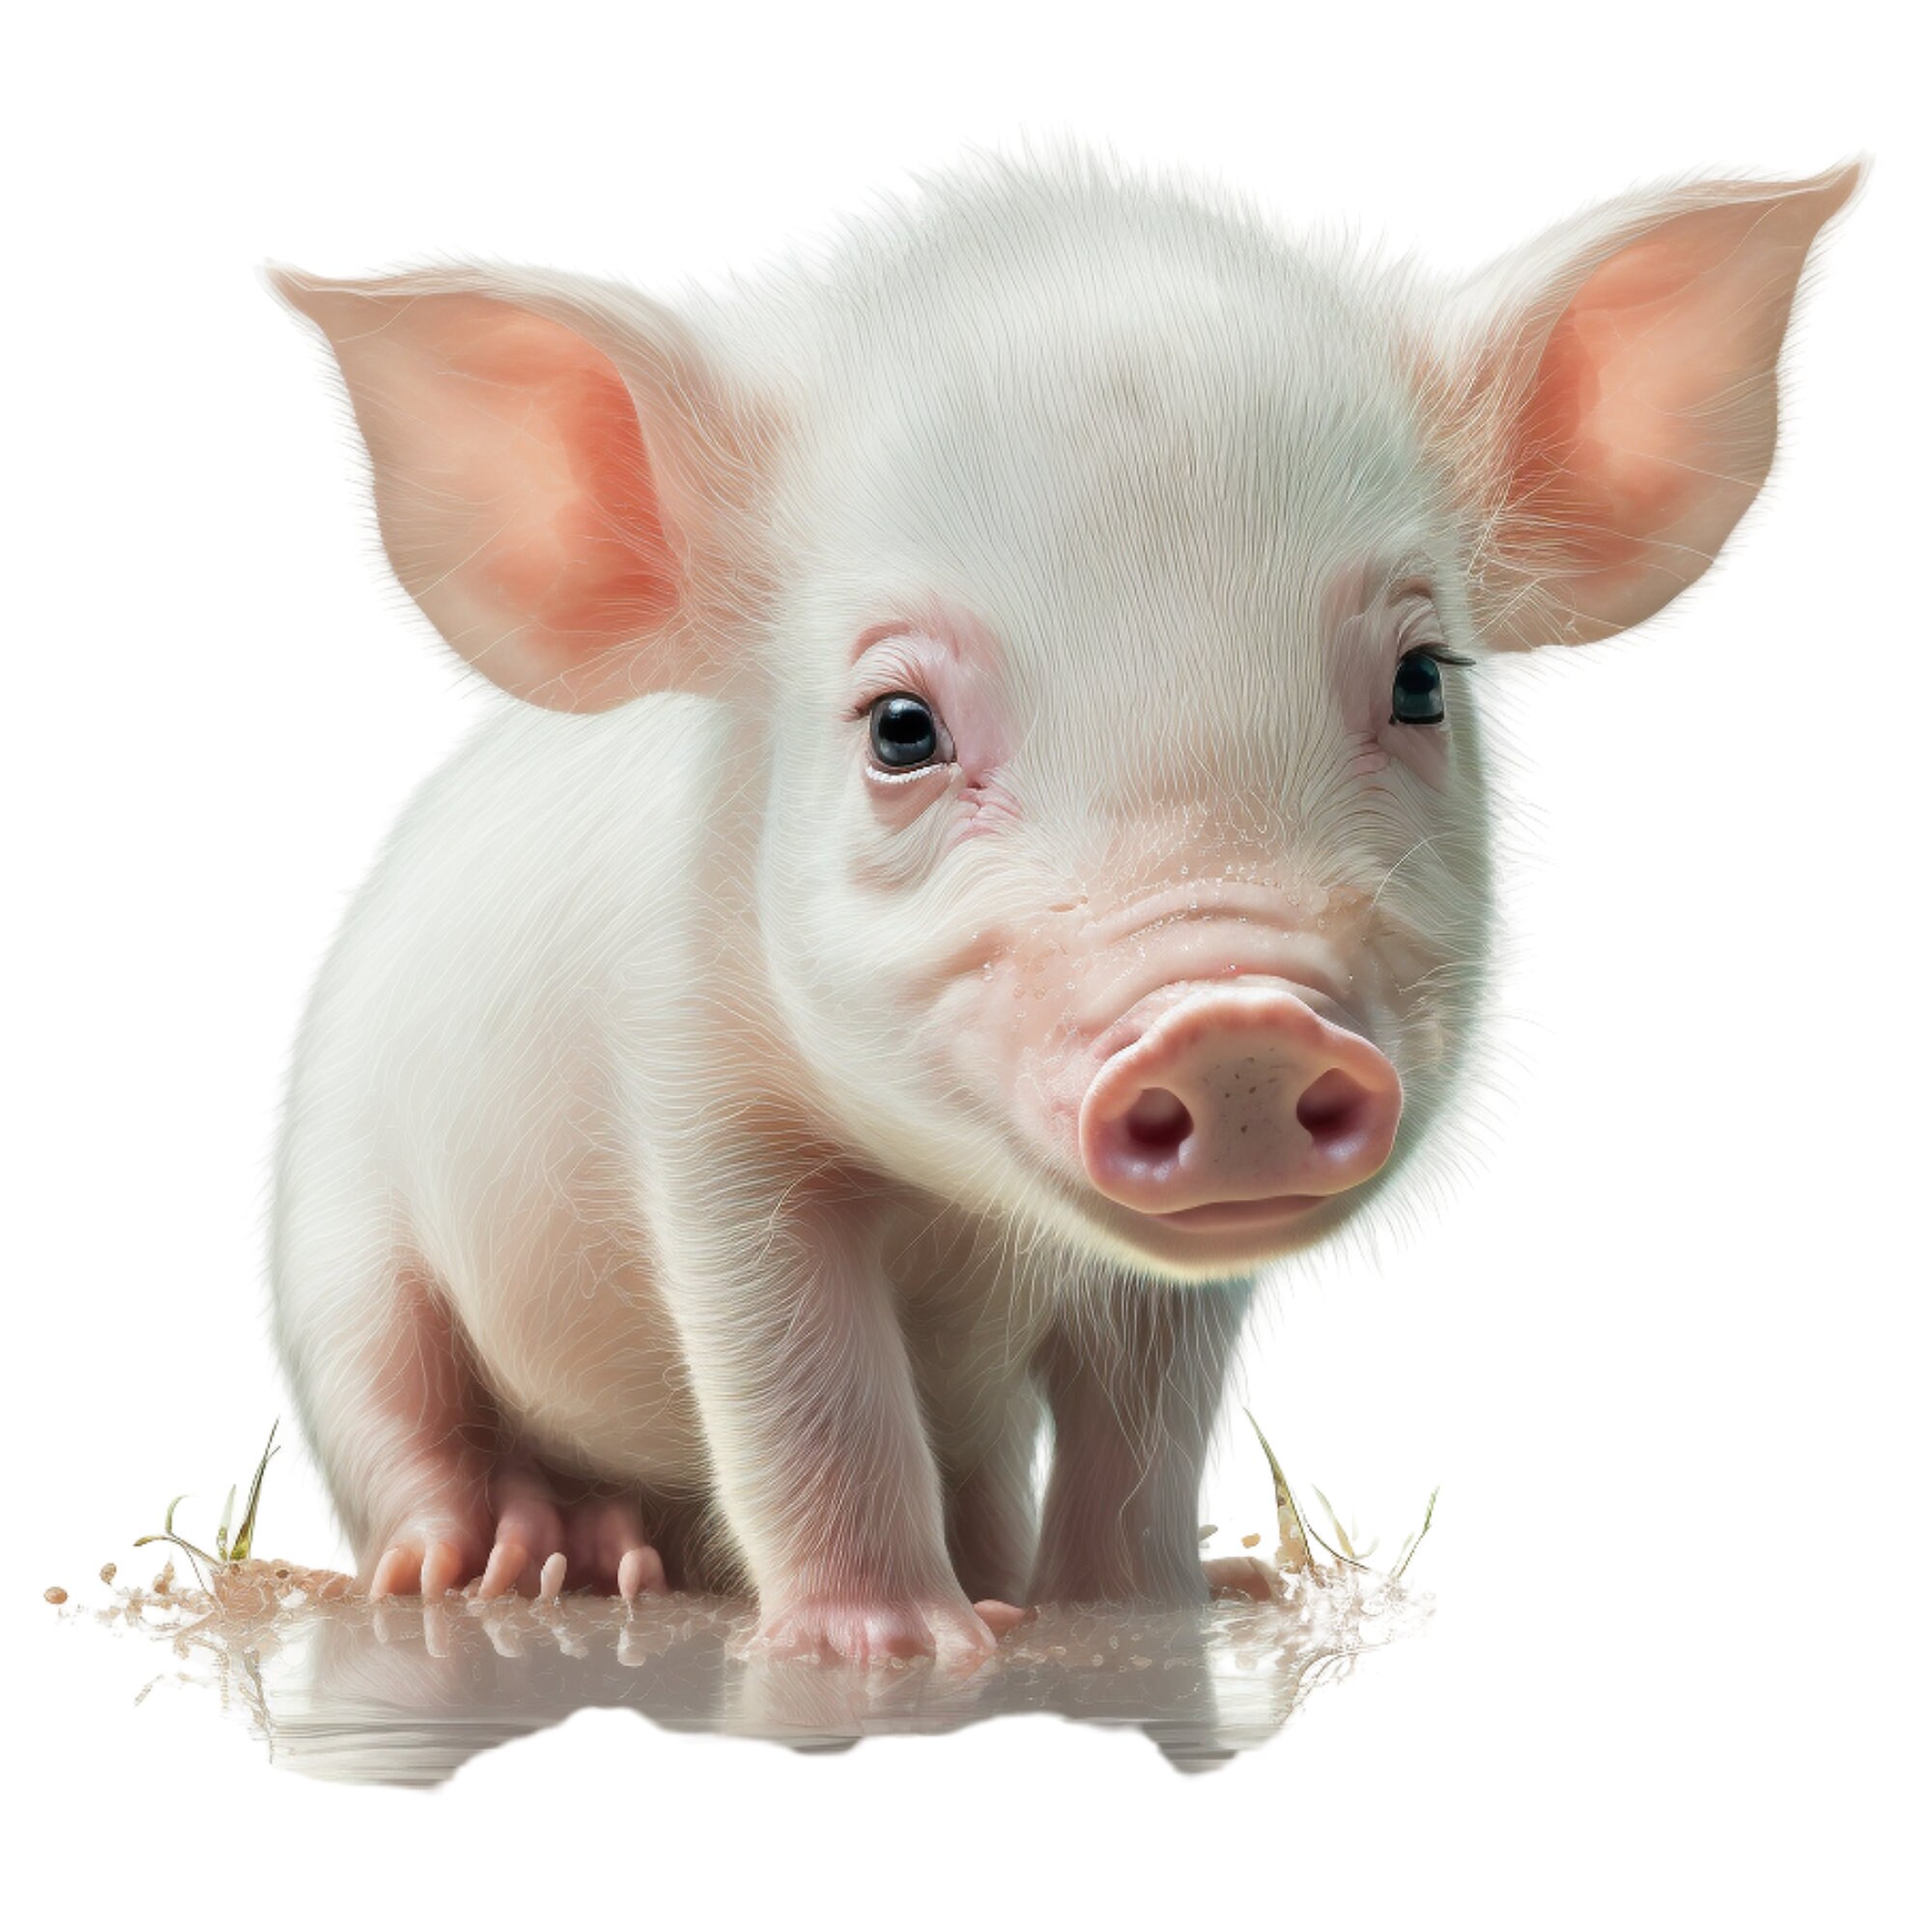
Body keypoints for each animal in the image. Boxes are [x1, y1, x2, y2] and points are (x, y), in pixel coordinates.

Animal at [269, 153, 1859, 1663]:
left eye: (1421, 678)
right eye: (899, 726)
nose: (1234, 1021)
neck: (968, 1206)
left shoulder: (1172, 1285)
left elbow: (1146, 1415)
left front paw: (1150, 1613)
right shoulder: (694, 1093)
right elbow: (800, 1371)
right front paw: (899, 1651)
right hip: (332, 1235)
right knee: (394, 1420)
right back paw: (517, 1567)